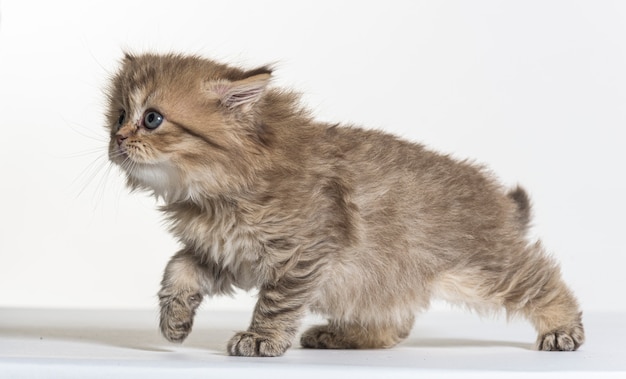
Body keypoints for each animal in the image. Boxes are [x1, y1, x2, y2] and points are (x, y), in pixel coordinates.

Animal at [106, 52, 580, 356]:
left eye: (152, 118)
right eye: (118, 116)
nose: (117, 139)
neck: (217, 191)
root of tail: (493, 194)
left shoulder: (302, 253)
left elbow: (275, 302)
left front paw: (261, 339)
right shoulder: (227, 254)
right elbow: (177, 267)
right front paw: (174, 319)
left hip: (482, 265)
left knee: (542, 279)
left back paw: (562, 328)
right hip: (382, 280)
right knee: (395, 323)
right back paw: (341, 337)